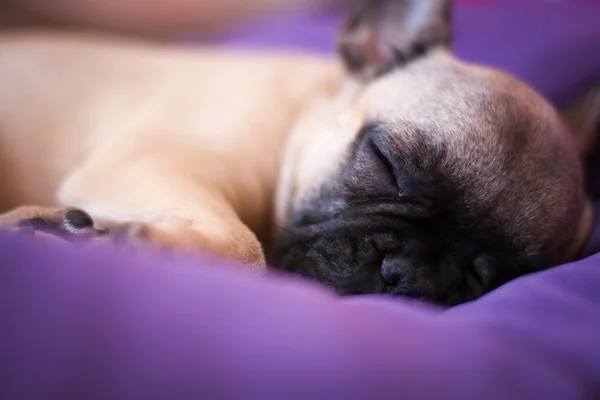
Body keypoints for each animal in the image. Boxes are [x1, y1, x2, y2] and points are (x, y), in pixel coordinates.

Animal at [0, 0, 596, 304]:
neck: (305, 116)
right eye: (385, 163)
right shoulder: (153, 161)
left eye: (495, 274)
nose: (412, 275)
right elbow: (243, 248)